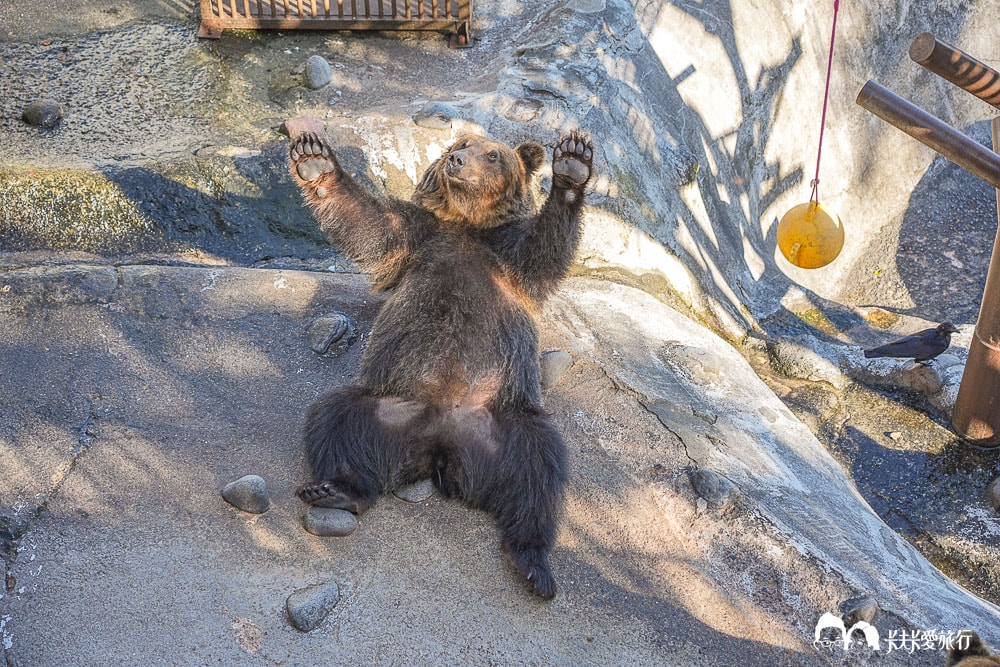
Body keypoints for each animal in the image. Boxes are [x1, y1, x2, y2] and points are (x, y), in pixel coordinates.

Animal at [286, 118, 594, 599]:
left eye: (493, 155)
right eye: (461, 144)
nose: (458, 160)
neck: (467, 225)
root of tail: (440, 446)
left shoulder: (509, 257)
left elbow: (545, 248)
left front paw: (573, 164)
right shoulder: (419, 236)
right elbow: (371, 224)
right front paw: (314, 159)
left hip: (506, 417)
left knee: (539, 468)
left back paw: (533, 562)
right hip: (388, 405)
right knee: (335, 418)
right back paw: (336, 490)